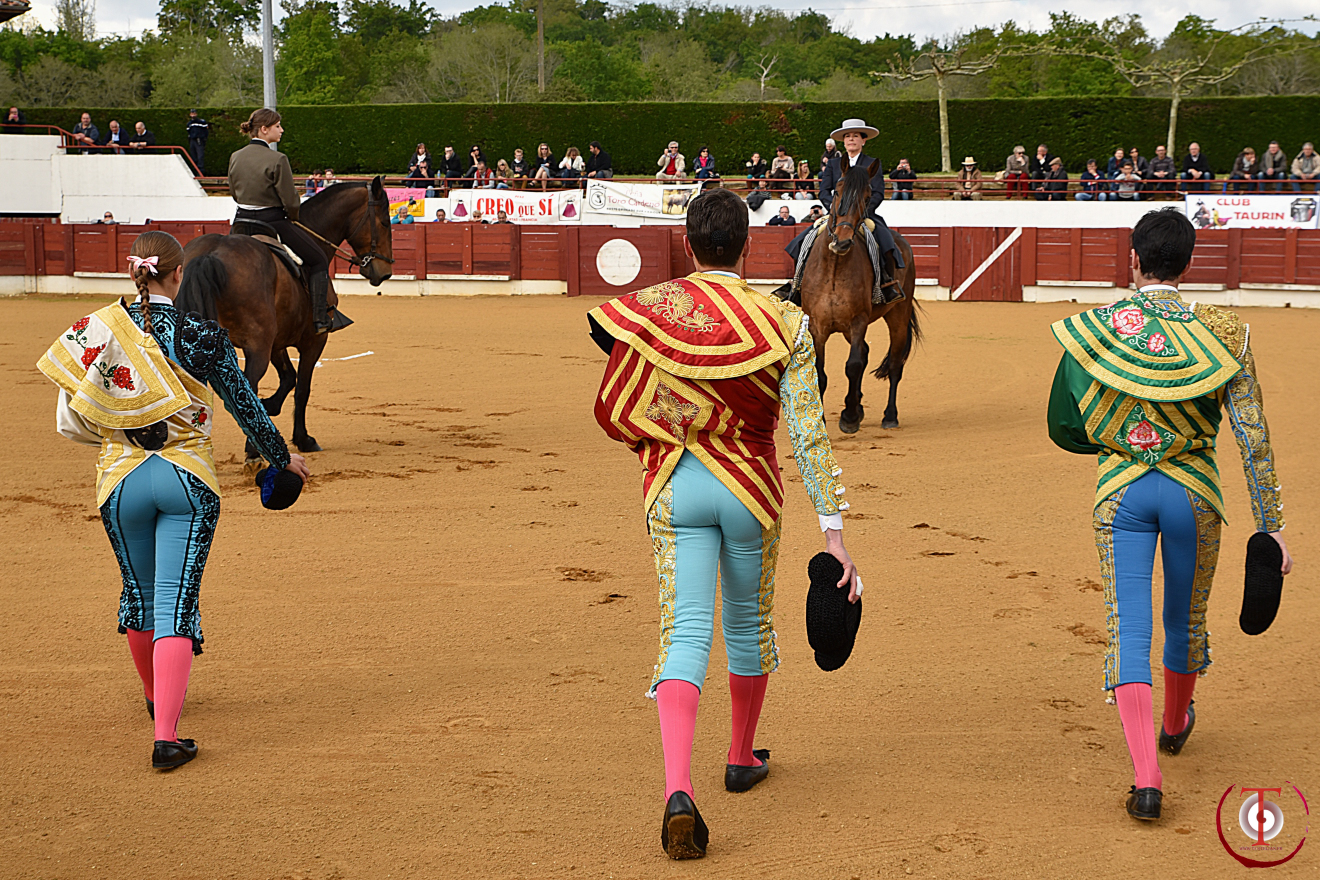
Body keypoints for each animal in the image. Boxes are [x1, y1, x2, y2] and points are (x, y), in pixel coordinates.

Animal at [183, 176, 393, 459]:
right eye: (384, 222)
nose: (385, 272)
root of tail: (210, 255)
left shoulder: (277, 342)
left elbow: (288, 378)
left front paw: (271, 406)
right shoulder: (313, 341)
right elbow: (302, 387)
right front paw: (303, 439)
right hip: (257, 347)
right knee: (247, 386)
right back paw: (254, 451)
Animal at [797, 160, 924, 432]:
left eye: (867, 198)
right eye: (836, 192)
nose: (842, 243)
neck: (834, 267)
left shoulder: (858, 321)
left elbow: (853, 365)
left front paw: (850, 417)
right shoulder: (818, 325)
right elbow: (820, 372)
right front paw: (826, 418)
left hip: (898, 316)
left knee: (894, 364)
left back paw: (889, 416)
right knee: (866, 352)